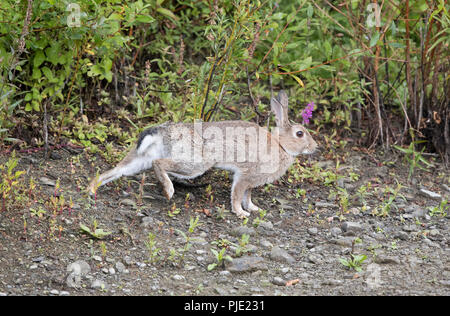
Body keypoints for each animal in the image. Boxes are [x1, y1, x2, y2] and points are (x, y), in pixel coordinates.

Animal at [88, 89, 318, 217]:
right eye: (300, 133)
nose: (315, 147)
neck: (281, 145)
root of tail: (163, 131)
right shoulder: (245, 175)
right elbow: (237, 194)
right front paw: (241, 213)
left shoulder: (251, 182)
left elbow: (247, 196)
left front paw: (254, 209)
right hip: (196, 163)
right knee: (160, 164)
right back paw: (169, 191)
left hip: (140, 158)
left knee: (116, 170)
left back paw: (91, 189)